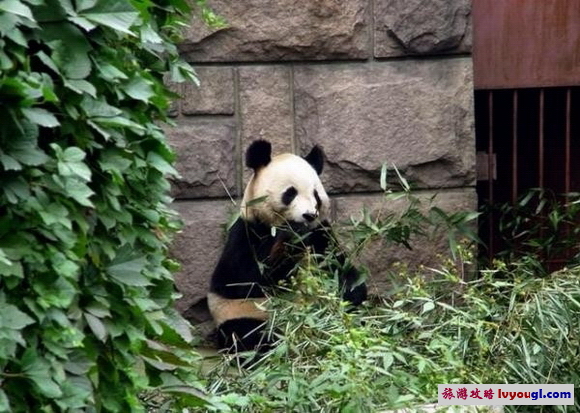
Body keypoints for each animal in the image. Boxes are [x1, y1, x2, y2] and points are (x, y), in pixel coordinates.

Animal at [206, 138, 364, 350]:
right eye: (290, 193)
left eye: (316, 195)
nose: (309, 215)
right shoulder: (247, 232)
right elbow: (244, 280)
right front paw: (289, 240)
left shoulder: (321, 233)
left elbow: (339, 267)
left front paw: (351, 290)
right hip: (243, 312)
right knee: (246, 333)